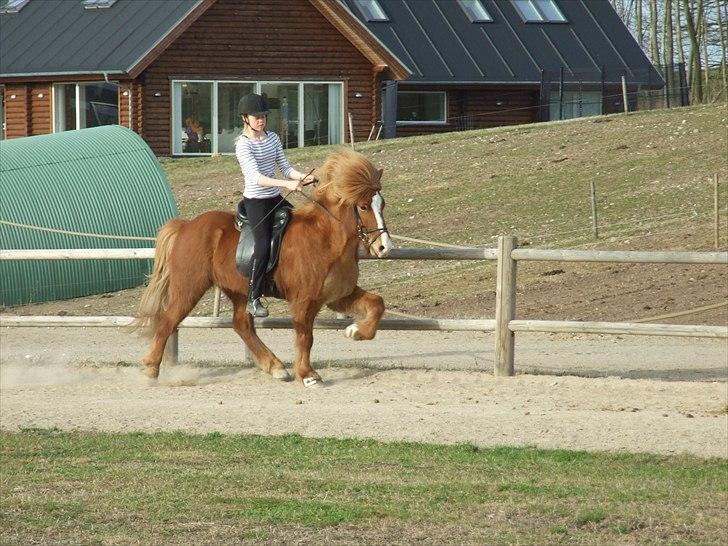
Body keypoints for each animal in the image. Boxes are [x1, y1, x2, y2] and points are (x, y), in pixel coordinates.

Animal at [131, 148, 392, 386]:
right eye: (364, 206)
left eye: (382, 204)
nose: (384, 247)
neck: (326, 239)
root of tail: (186, 226)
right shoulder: (303, 301)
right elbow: (305, 336)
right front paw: (307, 375)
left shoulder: (336, 296)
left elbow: (377, 303)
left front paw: (356, 332)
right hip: (189, 287)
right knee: (168, 320)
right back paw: (150, 370)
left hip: (238, 290)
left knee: (242, 325)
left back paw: (275, 366)